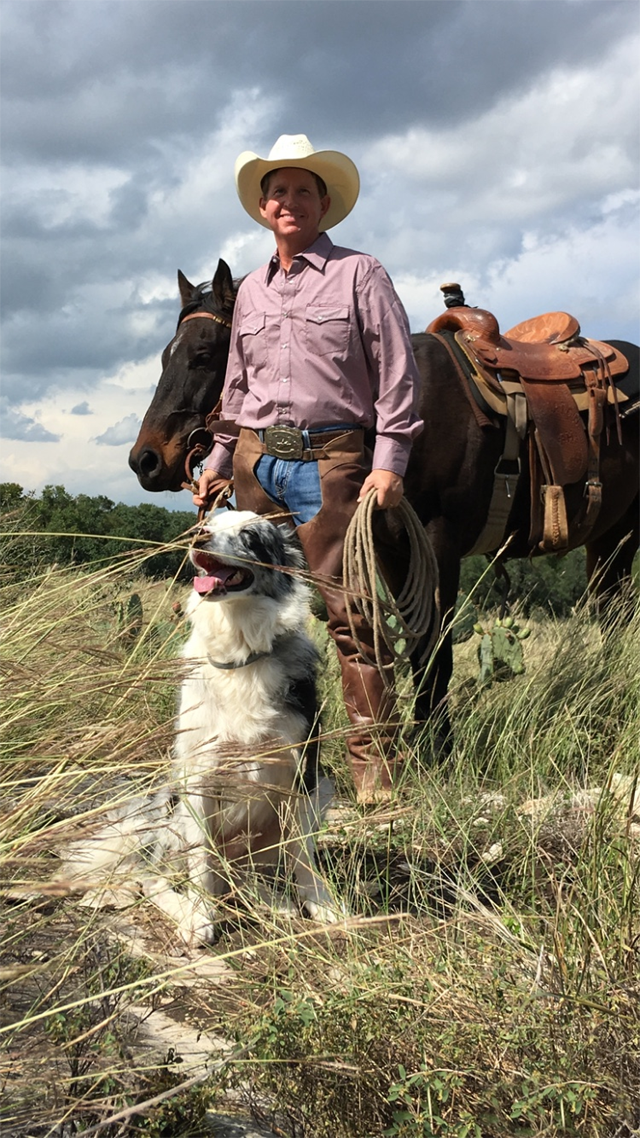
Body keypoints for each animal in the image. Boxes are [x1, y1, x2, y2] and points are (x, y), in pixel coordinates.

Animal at [59, 512, 339, 946]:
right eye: (210, 521)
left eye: (250, 535)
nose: (197, 534)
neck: (241, 652)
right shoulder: (199, 776)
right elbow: (201, 860)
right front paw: (201, 915)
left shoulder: (303, 771)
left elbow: (302, 854)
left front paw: (321, 904)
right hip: (170, 812)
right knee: (153, 877)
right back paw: (187, 907)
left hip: (322, 788)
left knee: (246, 871)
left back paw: (272, 900)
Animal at [126, 261, 637, 746]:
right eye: (165, 355)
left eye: (204, 355)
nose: (144, 460)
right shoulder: (391, 549)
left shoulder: (438, 543)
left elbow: (434, 647)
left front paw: (434, 746)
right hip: (607, 539)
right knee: (612, 613)